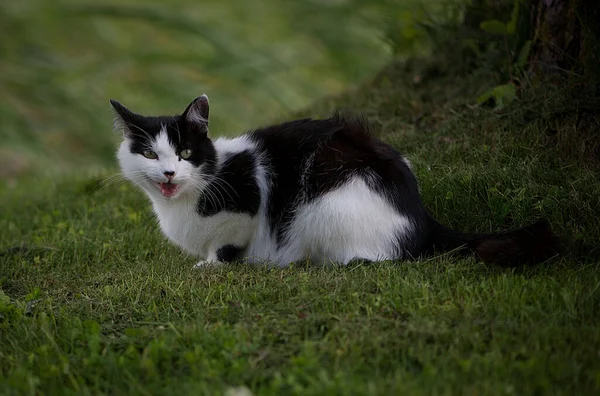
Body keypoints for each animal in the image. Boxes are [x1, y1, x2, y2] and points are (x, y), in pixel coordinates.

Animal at [110, 95, 560, 268]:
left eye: (185, 153)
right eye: (150, 155)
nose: (169, 172)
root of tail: (423, 217)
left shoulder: (246, 207)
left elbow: (227, 243)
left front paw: (211, 265)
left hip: (325, 205)